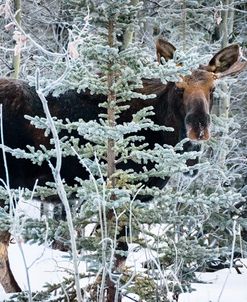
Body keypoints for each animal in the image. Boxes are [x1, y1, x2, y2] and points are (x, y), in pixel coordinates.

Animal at [0, 39, 247, 292]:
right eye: (178, 88)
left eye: (212, 89)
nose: (199, 128)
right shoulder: (124, 191)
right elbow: (117, 255)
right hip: (7, 185)